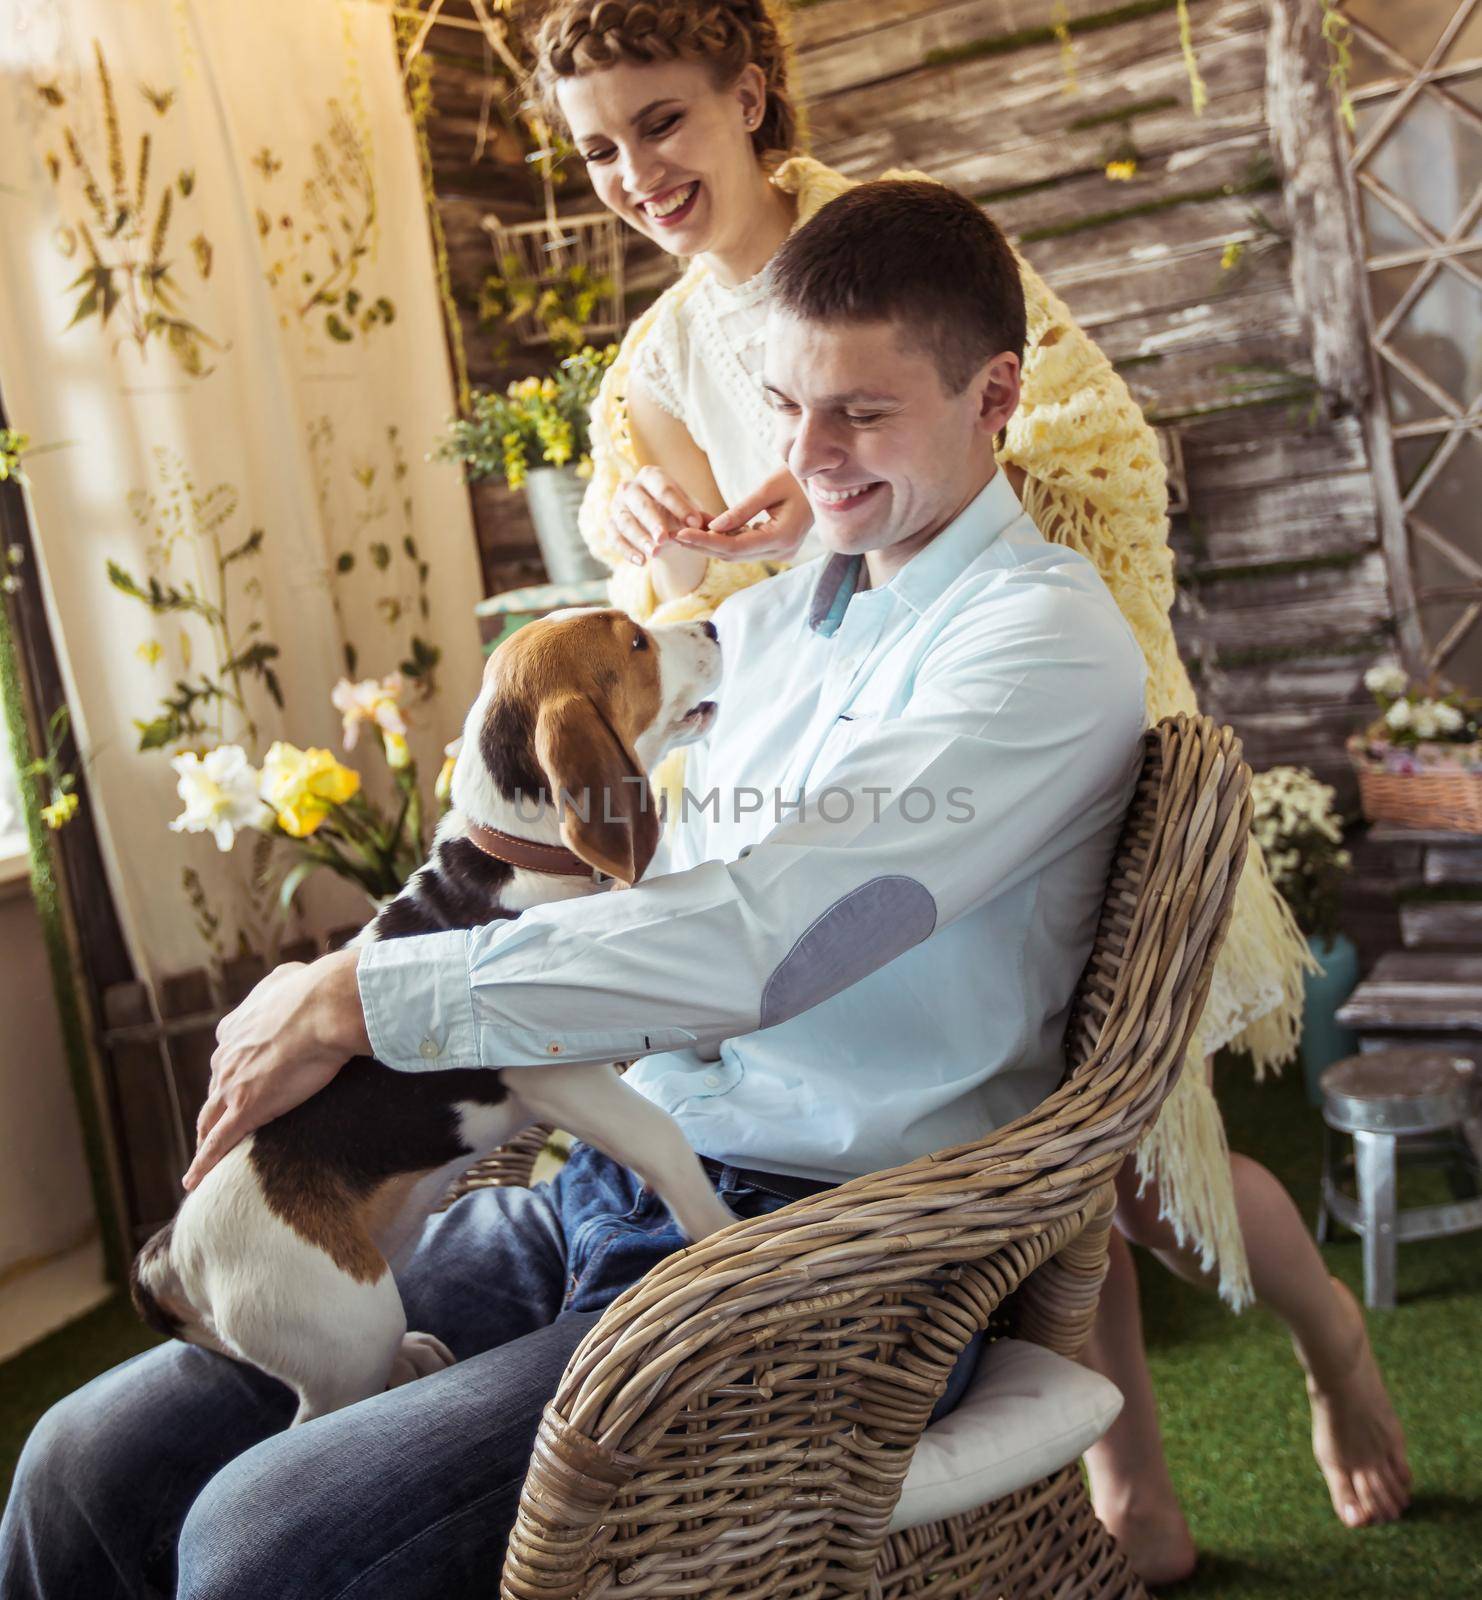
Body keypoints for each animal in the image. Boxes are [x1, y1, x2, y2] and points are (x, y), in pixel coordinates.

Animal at [130, 608, 732, 1427]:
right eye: (637, 642)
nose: (711, 624)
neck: (525, 854)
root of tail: (173, 1249)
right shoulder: (564, 1080)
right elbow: (664, 1139)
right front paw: (723, 1234)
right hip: (345, 1324)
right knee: (315, 1412)